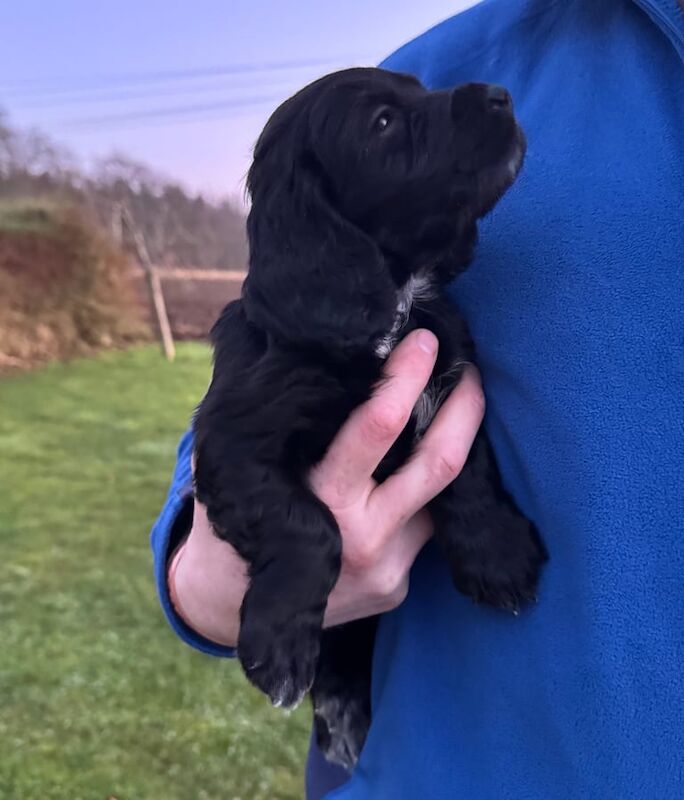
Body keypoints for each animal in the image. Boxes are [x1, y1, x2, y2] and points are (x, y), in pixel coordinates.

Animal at [195, 67, 548, 768]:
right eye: (383, 122)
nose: (500, 95)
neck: (389, 304)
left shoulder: (451, 375)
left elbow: (468, 471)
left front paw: (497, 555)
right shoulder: (234, 442)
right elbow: (309, 527)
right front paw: (279, 647)